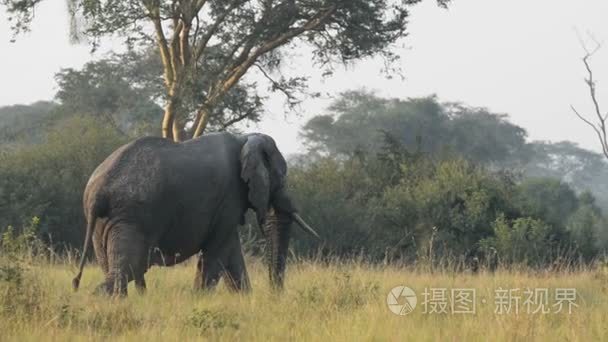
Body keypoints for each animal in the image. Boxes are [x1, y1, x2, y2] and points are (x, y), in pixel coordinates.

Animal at [71, 132, 318, 296]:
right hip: (131, 215)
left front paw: (244, 299)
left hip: (105, 222)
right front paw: (200, 298)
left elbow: (231, 253)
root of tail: (97, 193)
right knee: (129, 268)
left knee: (116, 268)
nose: (275, 294)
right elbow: (218, 251)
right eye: (281, 177)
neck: (244, 139)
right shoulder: (229, 196)